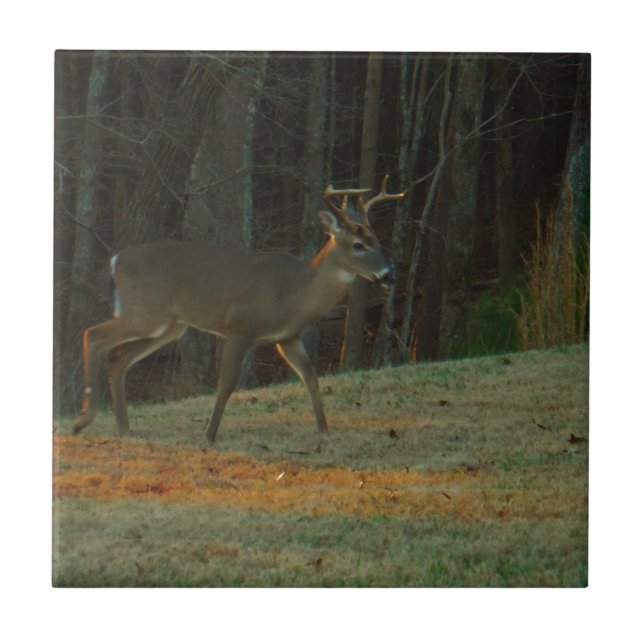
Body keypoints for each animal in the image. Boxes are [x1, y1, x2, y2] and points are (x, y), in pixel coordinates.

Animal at [72, 176, 405, 445]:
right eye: (358, 245)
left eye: (377, 240)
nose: (388, 275)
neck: (295, 295)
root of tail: (116, 260)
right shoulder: (240, 328)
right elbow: (227, 382)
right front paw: (209, 435)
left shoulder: (287, 337)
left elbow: (310, 376)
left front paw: (324, 430)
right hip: (144, 312)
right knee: (93, 335)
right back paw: (83, 421)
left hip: (169, 325)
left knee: (118, 358)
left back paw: (123, 429)